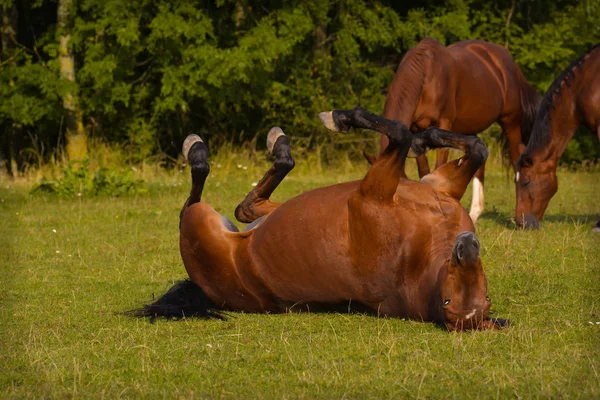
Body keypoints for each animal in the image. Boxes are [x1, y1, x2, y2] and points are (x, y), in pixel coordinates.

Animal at [132, 107, 506, 332]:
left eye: (451, 301)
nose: (467, 247)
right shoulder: (440, 186)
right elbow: (476, 147)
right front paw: (425, 138)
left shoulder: (374, 188)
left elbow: (399, 132)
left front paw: (341, 118)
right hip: (260, 215)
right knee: (248, 207)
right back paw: (279, 145)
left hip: (199, 224)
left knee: (195, 201)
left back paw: (197, 150)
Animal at [376, 38, 540, 223]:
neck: (427, 76)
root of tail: (506, 59)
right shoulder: (415, 130)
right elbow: (423, 170)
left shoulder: (443, 124)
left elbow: (438, 165)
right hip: (471, 126)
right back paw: (473, 214)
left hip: (510, 121)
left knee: (515, 159)